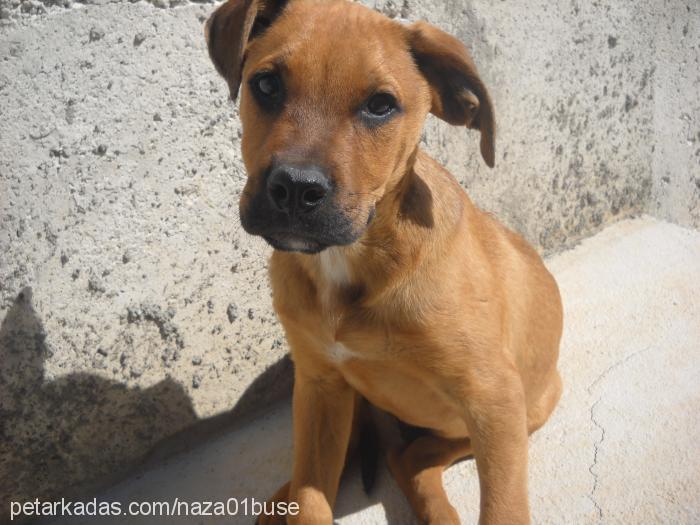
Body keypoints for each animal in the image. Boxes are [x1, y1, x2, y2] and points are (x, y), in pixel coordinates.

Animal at [204, 2, 564, 520]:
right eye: (266, 85)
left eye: (380, 106)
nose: (295, 187)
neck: (352, 260)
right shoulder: (319, 387)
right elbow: (310, 498)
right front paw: (298, 503)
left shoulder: (494, 400)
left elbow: (504, 508)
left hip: (522, 408)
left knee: (412, 457)